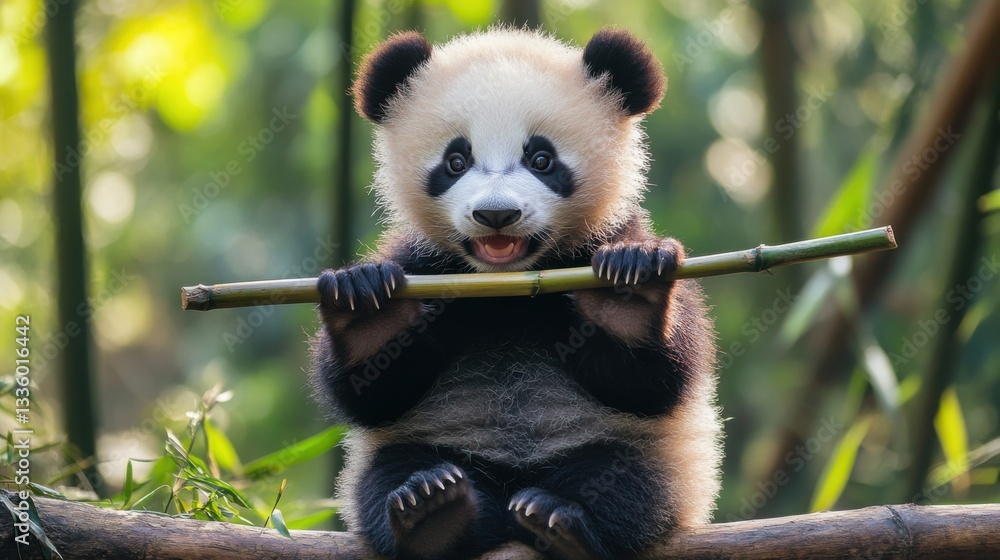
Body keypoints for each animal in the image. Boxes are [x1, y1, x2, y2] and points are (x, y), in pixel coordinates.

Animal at [310, 27, 721, 560]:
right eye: (456, 161)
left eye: (541, 159)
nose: (496, 215)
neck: (506, 288)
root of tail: (509, 492)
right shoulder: (423, 264)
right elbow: (375, 391)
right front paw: (369, 307)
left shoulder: (612, 237)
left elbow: (649, 382)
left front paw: (625, 292)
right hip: (426, 447)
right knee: (389, 473)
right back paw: (433, 512)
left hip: (660, 456)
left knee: (628, 481)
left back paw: (559, 519)